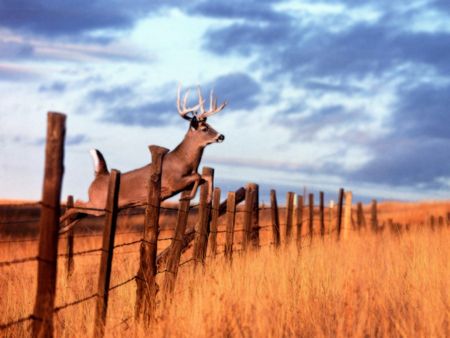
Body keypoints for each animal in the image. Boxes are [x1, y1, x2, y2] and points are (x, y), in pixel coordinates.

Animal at [59, 86, 227, 230]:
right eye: (204, 128)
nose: (221, 136)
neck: (185, 162)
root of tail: (100, 176)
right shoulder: (173, 182)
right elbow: (198, 177)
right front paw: (188, 198)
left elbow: (206, 177)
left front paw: (208, 199)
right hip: (99, 203)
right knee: (77, 204)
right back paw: (59, 224)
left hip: (100, 207)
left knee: (79, 212)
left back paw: (64, 229)